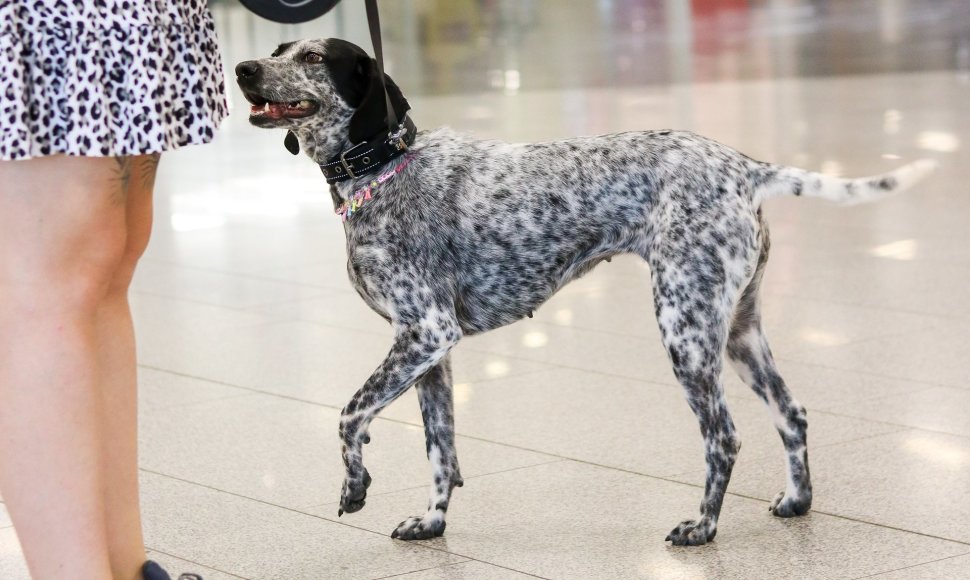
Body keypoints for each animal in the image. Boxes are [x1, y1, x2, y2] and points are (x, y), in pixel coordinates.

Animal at [231, 38, 932, 548]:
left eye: (312, 58)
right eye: (278, 48)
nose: (242, 68)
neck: (384, 167)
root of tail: (743, 167)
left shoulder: (426, 333)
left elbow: (349, 416)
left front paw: (355, 484)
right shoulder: (430, 354)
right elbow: (441, 449)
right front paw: (432, 521)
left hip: (685, 332)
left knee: (724, 437)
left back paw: (703, 527)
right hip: (737, 332)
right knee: (792, 414)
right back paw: (796, 500)